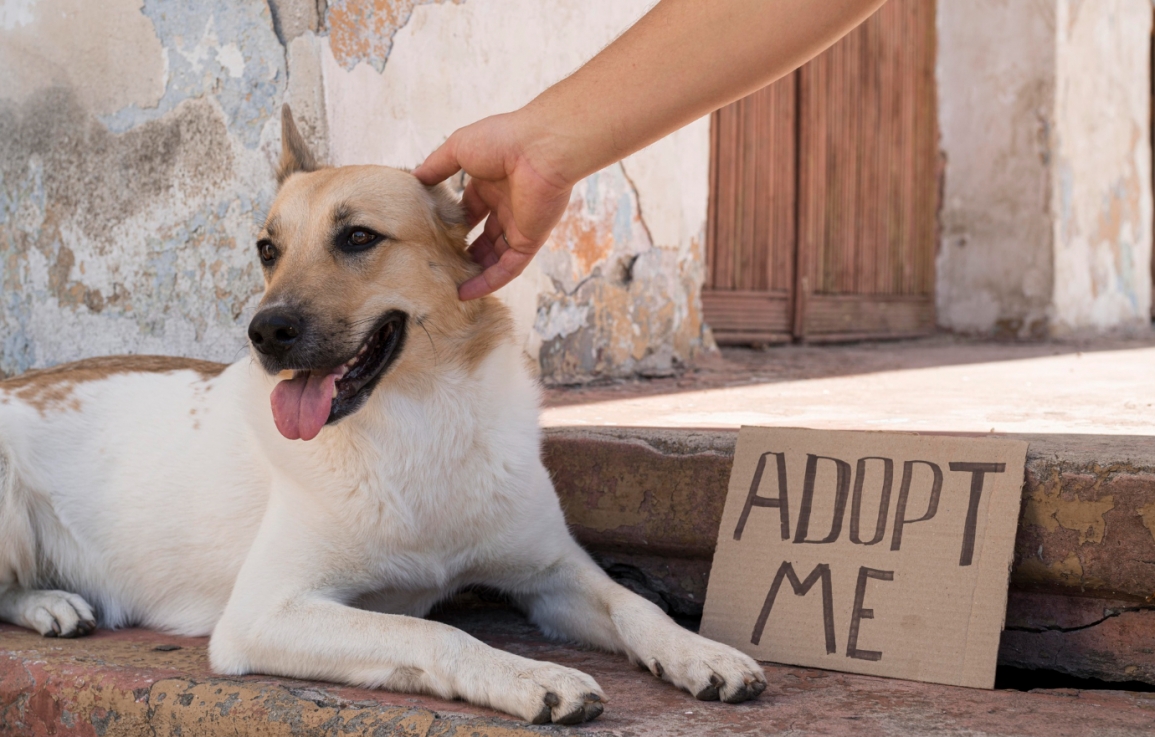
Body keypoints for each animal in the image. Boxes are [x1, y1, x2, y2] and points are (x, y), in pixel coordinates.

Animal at [0, 106, 766, 725]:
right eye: (267, 250)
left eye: (360, 238)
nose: (264, 332)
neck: (418, 422)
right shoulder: (264, 614)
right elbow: (433, 633)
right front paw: (527, 676)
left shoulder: (552, 573)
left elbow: (637, 604)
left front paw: (700, 652)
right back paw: (50, 604)